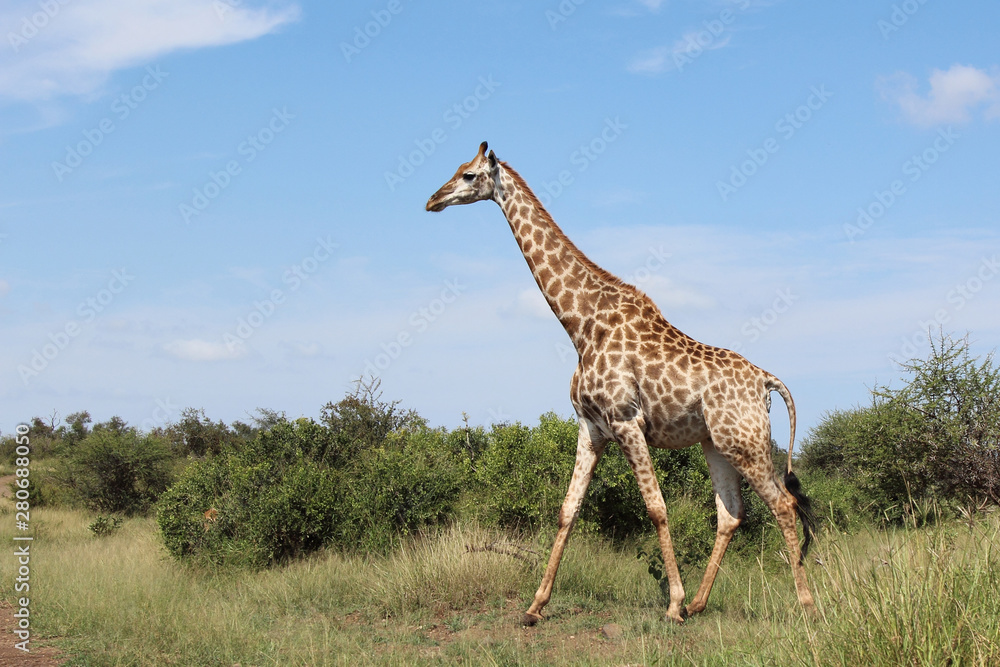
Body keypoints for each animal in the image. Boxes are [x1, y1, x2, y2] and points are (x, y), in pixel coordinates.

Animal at [426, 142, 816, 628]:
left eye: (468, 175)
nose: (433, 200)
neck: (579, 325)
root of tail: (766, 381)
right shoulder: (591, 426)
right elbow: (568, 509)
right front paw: (535, 606)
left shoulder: (626, 420)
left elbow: (656, 507)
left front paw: (671, 604)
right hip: (717, 443)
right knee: (731, 513)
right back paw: (701, 603)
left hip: (745, 441)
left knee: (782, 505)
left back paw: (805, 605)